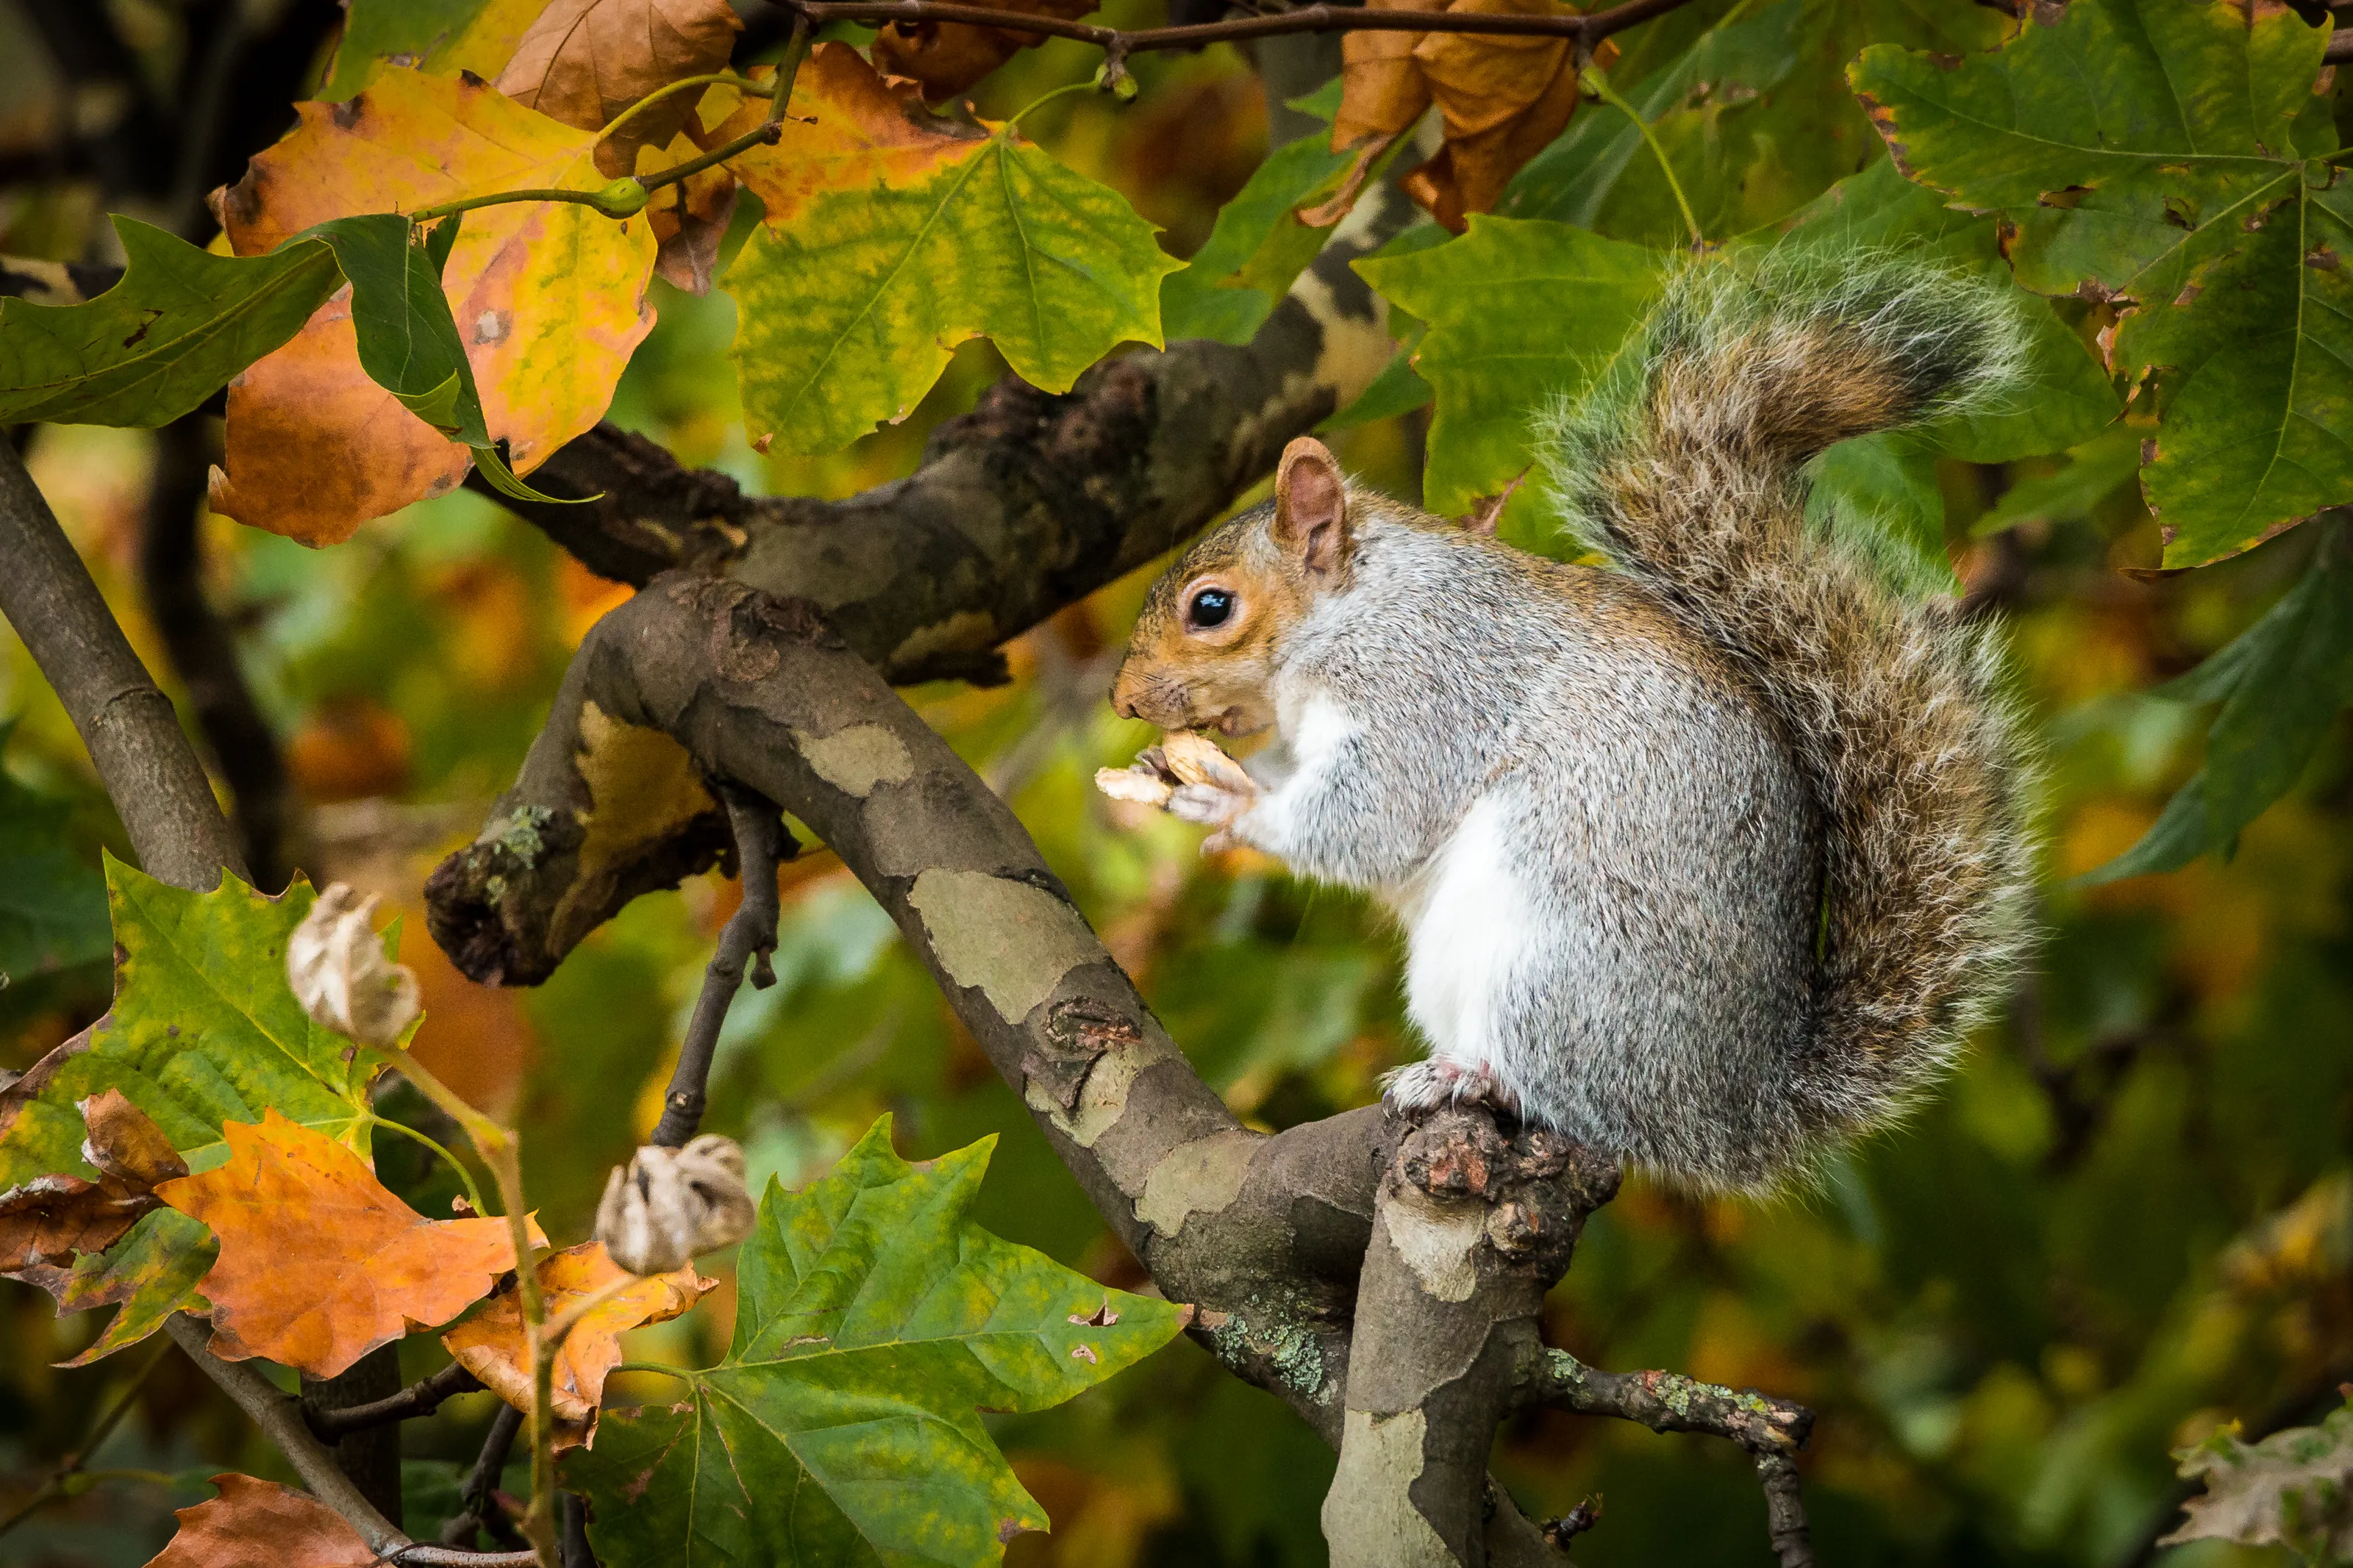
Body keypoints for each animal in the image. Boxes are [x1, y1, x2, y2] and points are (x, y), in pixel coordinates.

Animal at [1104, 254, 2038, 1190]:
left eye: (1211, 607)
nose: (1123, 702)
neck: (1352, 606)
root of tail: (1737, 1106)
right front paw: (1162, 772)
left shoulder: (1428, 683)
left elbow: (1374, 818)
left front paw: (1229, 807)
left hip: (1557, 962)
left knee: (1570, 1096)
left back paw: (1468, 1077)